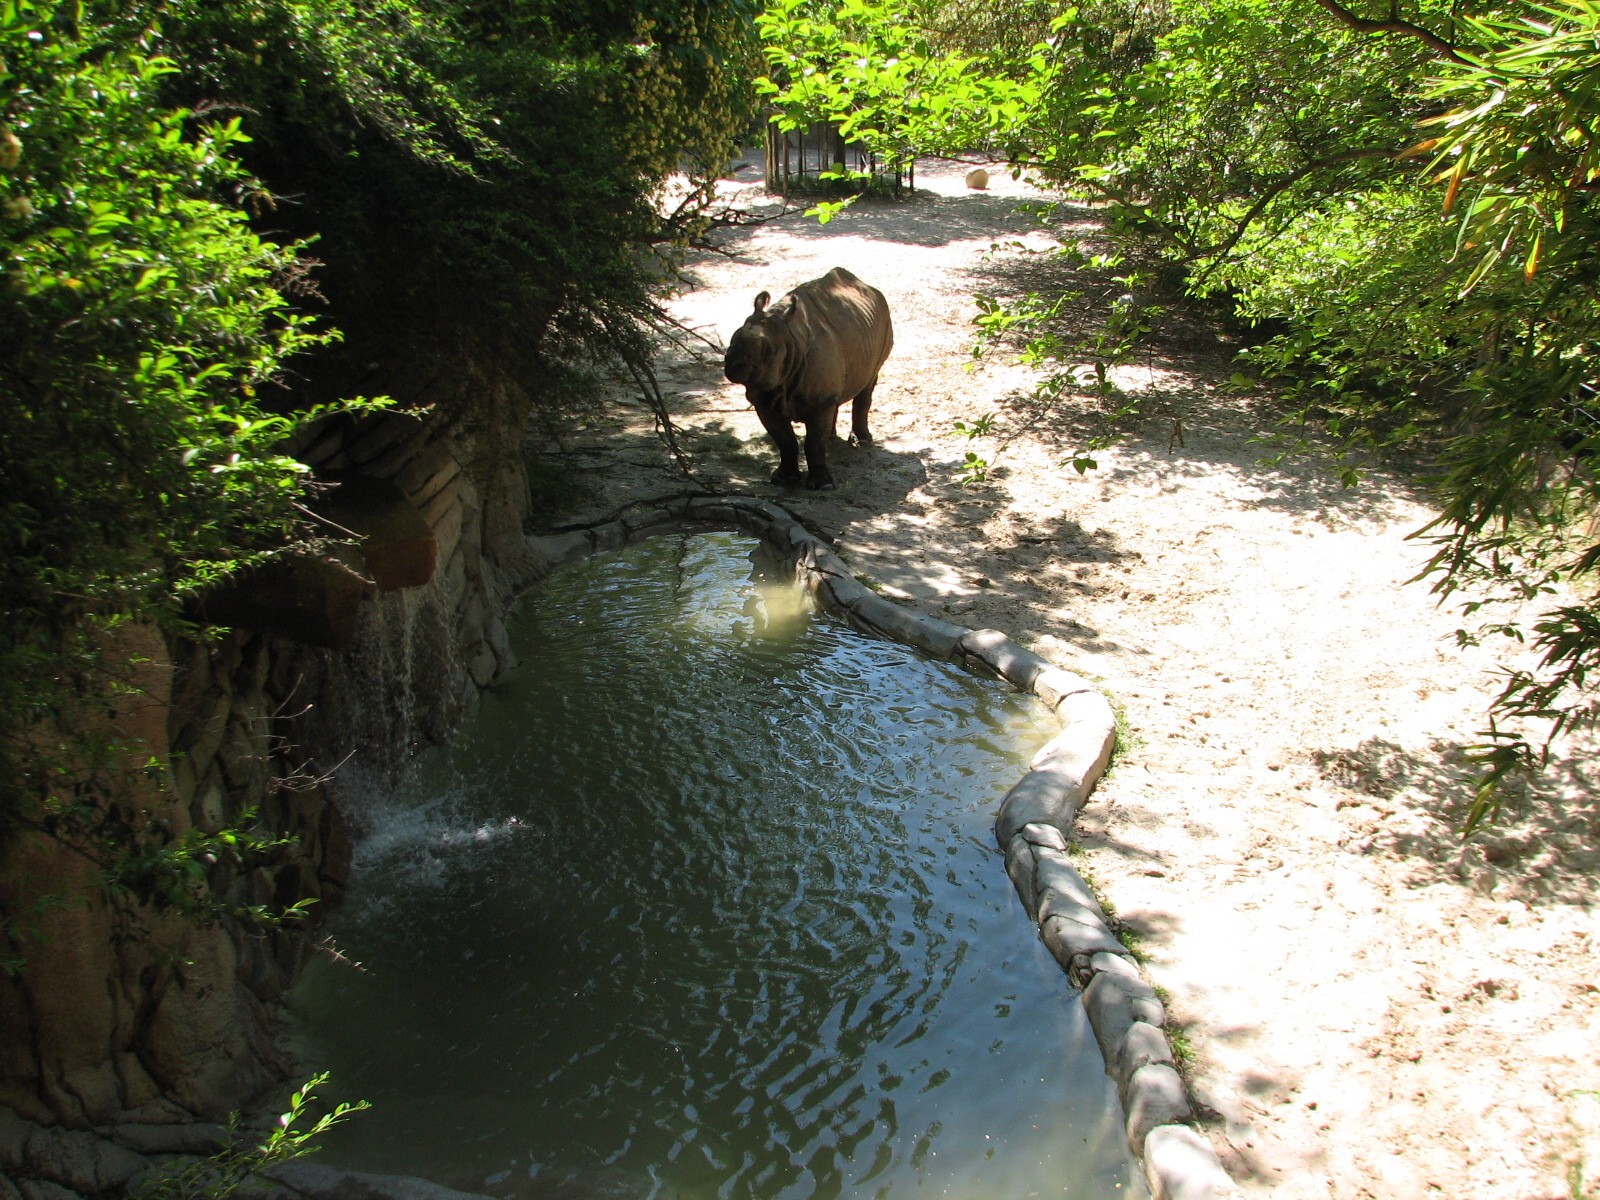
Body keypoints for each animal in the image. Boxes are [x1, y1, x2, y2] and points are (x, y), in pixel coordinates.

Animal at [723, 267, 894, 490]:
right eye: (732, 340)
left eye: (767, 350)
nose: (734, 365)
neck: (789, 337)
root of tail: (868, 287)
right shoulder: (764, 398)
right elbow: (785, 441)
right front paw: (782, 480)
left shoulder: (818, 400)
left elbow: (814, 443)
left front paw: (822, 486)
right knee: (837, 396)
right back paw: (833, 437)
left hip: (885, 325)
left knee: (869, 381)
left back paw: (863, 441)